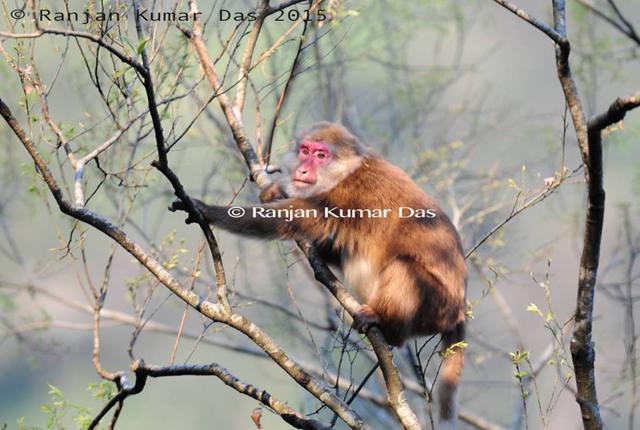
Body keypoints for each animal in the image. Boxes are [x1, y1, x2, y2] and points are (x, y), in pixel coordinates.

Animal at [169, 122, 467, 428]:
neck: (347, 170)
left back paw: (385, 324)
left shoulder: (345, 194)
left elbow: (293, 217)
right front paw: (276, 189)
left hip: (436, 305)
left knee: (404, 268)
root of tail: (458, 311)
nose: (302, 170)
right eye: (305, 150)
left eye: (321, 155)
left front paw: (206, 209)